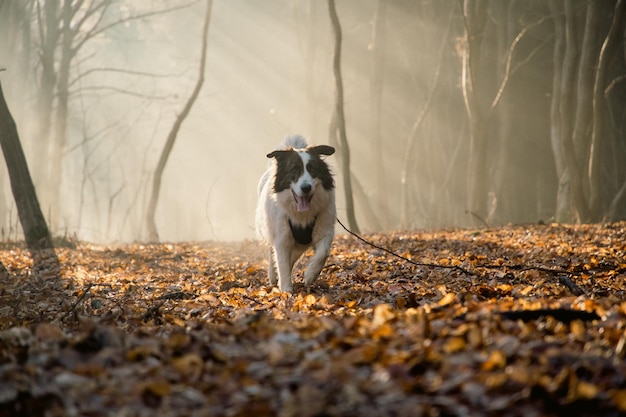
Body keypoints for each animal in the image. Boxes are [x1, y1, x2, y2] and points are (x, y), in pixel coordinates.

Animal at [254, 135, 334, 290]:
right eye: (293, 170)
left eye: (312, 169)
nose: (306, 188)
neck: (301, 215)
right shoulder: (282, 237)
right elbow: (282, 263)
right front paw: (286, 290)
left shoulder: (324, 226)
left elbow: (323, 252)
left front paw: (310, 275)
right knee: (273, 254)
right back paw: (273, 275)